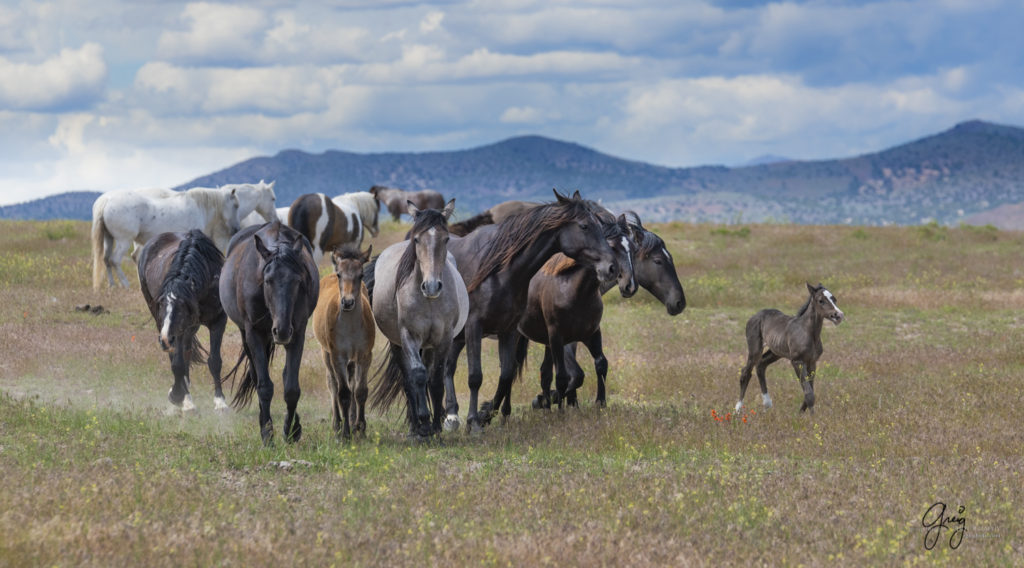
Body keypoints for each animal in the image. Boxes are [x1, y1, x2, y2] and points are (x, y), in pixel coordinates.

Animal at [91, 189, 241, 290]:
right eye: (236, 206)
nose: (237, 229)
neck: (199, 208)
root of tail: (106, 201)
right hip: (124, 240)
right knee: (114, 260)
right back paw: (125, 284)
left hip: (108, 238)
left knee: (106, 259)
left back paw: (112, 285)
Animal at [136, 230, 228, 413]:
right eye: (161, 306)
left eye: (181, 308)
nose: (165, 339)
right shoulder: (174, 330)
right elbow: (177, 363)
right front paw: (182, 399)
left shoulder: (218, 322)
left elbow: (215, 361)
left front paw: (220, 402)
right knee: (177, 357)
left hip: (189, 328)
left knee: (186, 352)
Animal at [221, 221, 317, 444]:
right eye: (267, 281)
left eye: (297, 281)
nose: (281, 331)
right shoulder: (254, 333)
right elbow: (264, 386)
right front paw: (267, 434)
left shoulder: (297, 333)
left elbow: (291, 388)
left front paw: (291, 430)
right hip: (248, 335)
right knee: (257, 377)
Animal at [313, 245, 378, 440]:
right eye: (340, 274)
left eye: (361, 275)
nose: (347, 302)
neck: (351, 327)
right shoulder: (338, 356)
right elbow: (343, 393)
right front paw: (345, 434)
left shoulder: (364, 355)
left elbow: (360, 390)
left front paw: (360, 427)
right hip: (326, 353)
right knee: (332, 384)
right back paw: (337, 423)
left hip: (352, 359)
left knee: (352, 383)